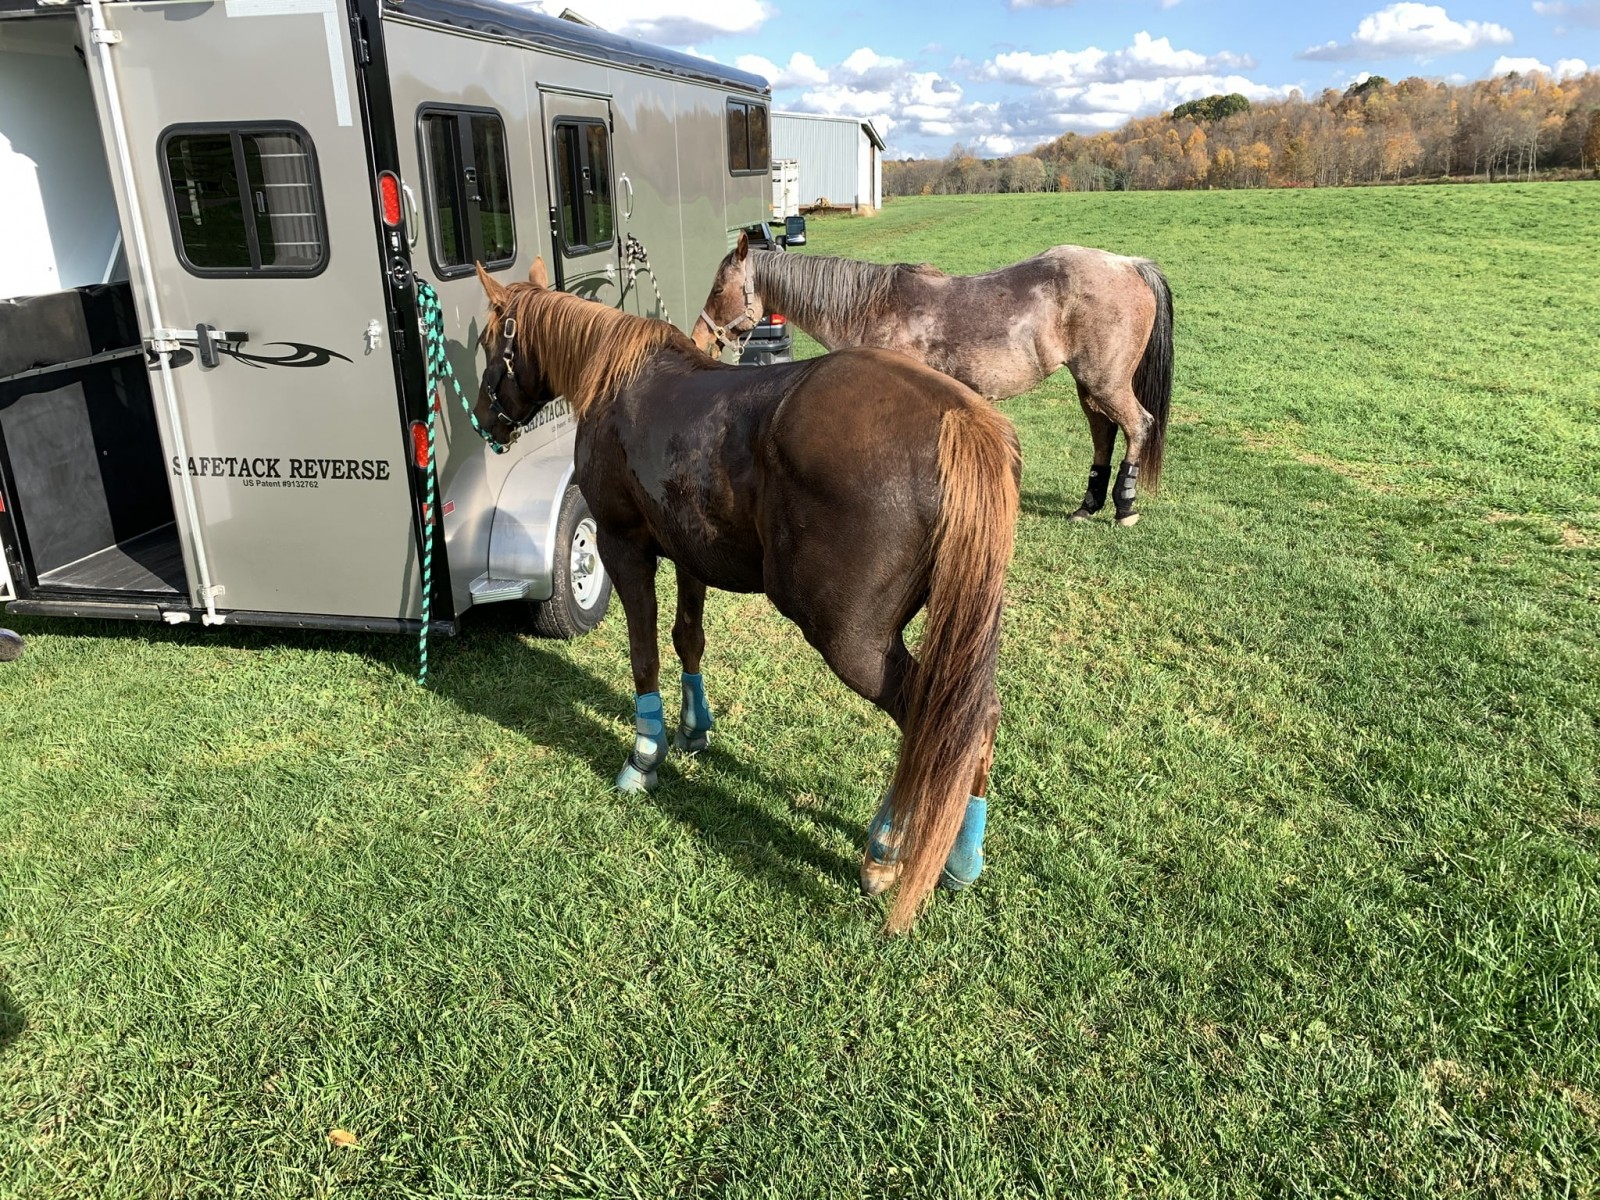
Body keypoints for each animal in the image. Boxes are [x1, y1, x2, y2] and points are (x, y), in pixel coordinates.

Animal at [473, 259, 1021, 933]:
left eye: (489, 342)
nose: (484, 418)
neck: (622, 381)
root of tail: (958, 416)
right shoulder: (689, 553)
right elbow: (688, 639)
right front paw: (693, 728)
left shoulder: (623, 547)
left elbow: (644, 653)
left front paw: (645, 754)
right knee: (976, 718)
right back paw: (962, 857)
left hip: (853, 642)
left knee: (929, 721)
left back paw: (885, 851)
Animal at [693, 235, 1172, 525]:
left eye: (717, 290)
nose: (699, 339)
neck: (871, 308)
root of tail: (1129, 265)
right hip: (1089, 386)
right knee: (1103, 432)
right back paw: (1087, 506)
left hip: (1106, 382)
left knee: (1138, 426)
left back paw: (1125, 506)